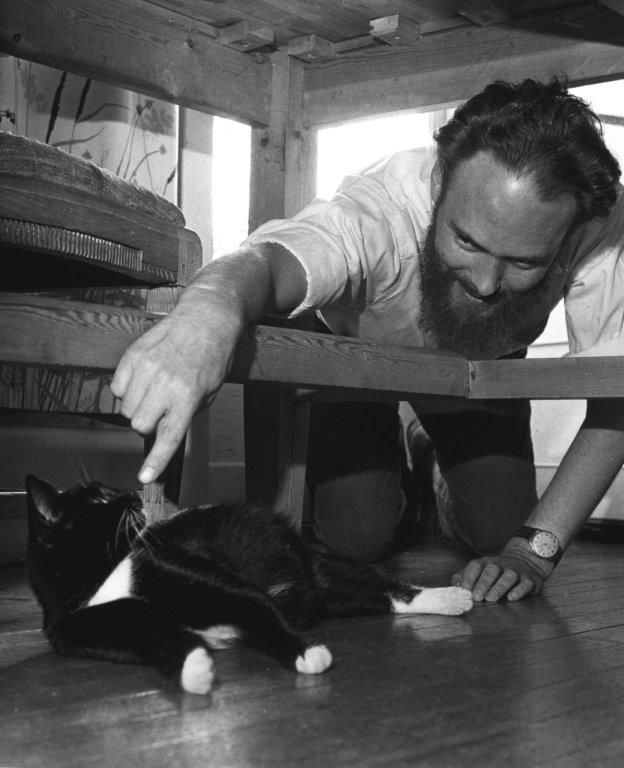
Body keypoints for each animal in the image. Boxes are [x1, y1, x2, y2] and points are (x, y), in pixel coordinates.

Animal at [25, 475, 473, 695]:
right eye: (101, 500)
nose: (133, 492)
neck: (101, 580)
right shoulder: (88, 627)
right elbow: (154, 641)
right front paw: (194, 668)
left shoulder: (207, 581)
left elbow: (253, 609)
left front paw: (306, 654)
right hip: (331, 596)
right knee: (379, 597)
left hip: (321, 564)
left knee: (390, 586)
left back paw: (452, 596)